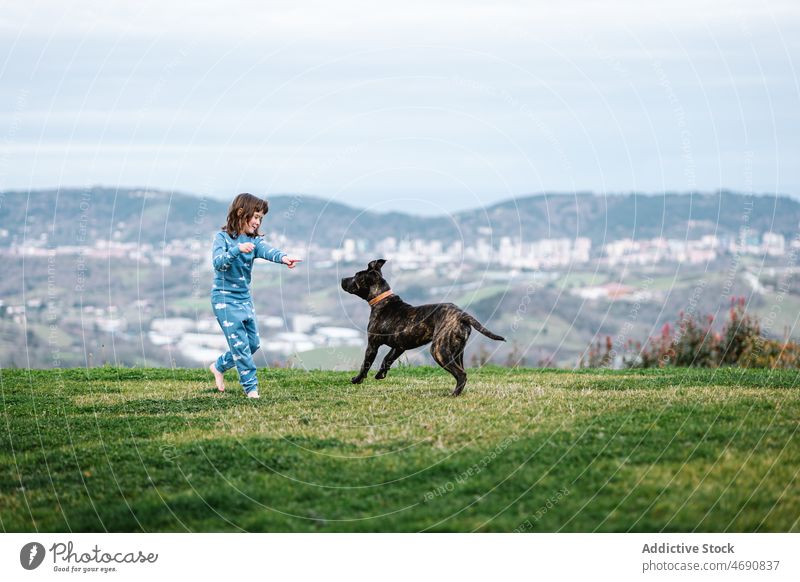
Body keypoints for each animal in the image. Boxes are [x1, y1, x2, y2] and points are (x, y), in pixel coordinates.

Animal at [340, 260, 506, 396]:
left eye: (356, 276)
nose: (342, 279)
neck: (382, 299)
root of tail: (462, 315)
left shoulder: (372, 344)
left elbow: (365, 364)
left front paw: (357, 379)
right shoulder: (399, 346)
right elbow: (387, 359)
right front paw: (381, 374)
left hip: (439, 350)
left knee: (461, 374)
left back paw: (453, 395)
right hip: (458, 351)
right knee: (462, 371)